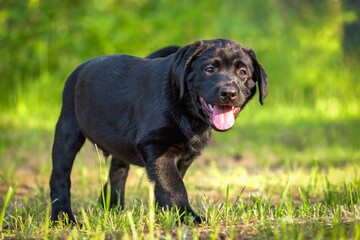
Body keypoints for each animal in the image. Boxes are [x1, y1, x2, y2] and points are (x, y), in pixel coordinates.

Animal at [50, 39, 268, 223]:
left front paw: (165, 214)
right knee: (60, 176)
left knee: (117, 172)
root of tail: (80, 68)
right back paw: (62, 217)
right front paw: (187, 217)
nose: (228, 93)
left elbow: (166, 184)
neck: (187, 112)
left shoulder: (184, 155)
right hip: (67, 130)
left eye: (242, 72)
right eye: (209, 69)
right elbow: (174, 185)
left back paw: (114, 208)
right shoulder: (156, 146)